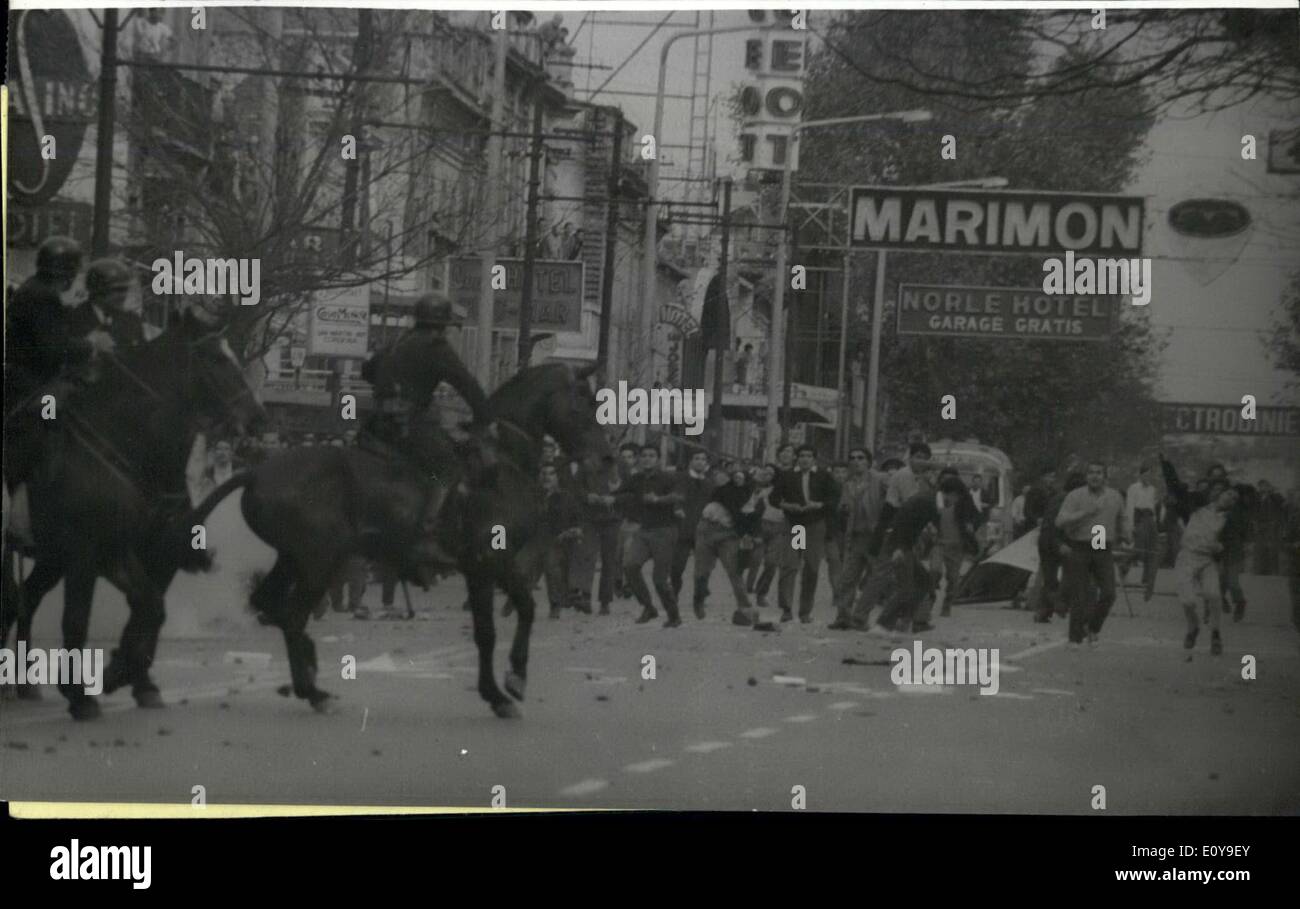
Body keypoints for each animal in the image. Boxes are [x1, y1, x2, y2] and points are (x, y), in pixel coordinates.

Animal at [0, 316, 266, 723]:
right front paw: (82, 694)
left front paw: (125, 677)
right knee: (14, 599)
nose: (258, 418)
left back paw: (25, 684)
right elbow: (78, 618)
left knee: (23, 599)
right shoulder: (86, 555)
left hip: (50, 558)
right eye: (216, 359)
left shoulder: (124, 552)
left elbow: (149, 606)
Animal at [176, 361, 608, 717]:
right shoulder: (486, 565)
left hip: (292, 558)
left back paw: (308, 674)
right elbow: (491, 631)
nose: (603, 457)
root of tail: (257, 472)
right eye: (585, 402)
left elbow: (522, 612)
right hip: (319, 562)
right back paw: (314, 690)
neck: (500, 466)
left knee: (272, 606)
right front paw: (501, 692)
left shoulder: (496, 567)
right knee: (292, 614)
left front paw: (512, 679)